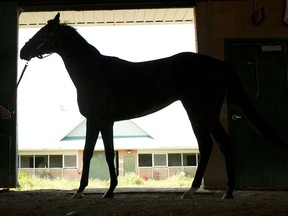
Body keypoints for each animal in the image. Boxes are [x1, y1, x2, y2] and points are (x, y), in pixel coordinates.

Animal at [20, 12, 286, 200]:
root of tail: (219, 64)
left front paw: (79, 191)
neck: (93, 72)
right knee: (224, 144)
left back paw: (190, 191)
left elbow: (86, 153)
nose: (23, 51)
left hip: (197, 112)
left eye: (44, 32)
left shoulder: (94, 120)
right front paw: (109, 191)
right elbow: (109, 155)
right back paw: (228, 192)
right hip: (210, 114)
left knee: (207, 145)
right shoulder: (107, 122)